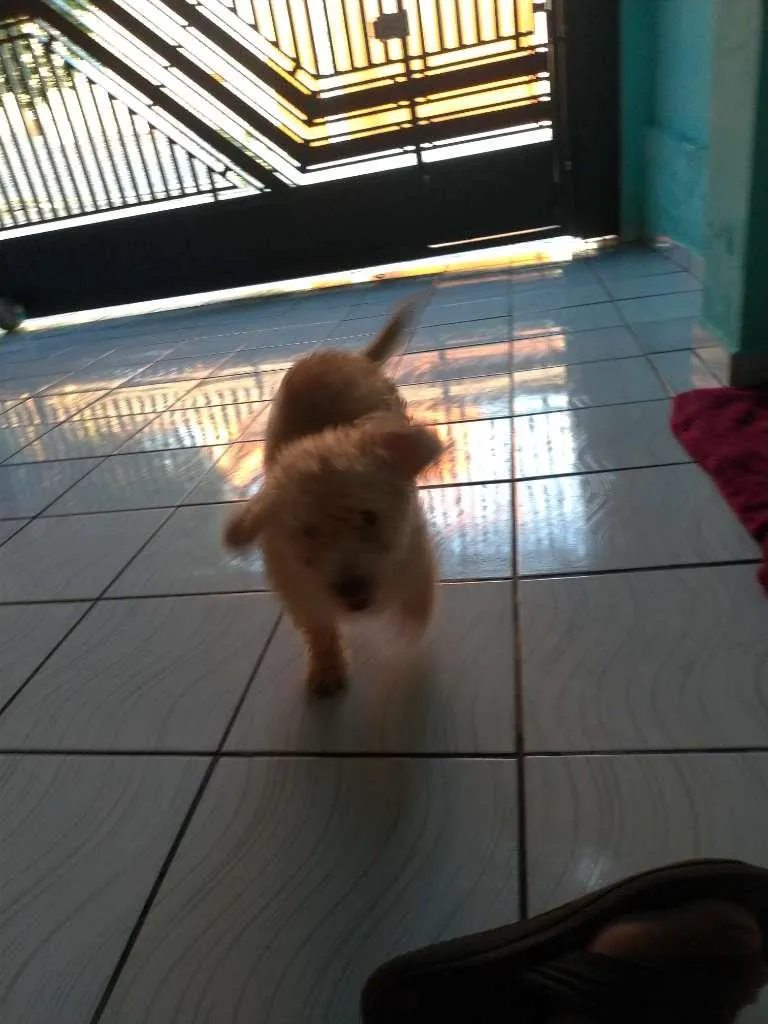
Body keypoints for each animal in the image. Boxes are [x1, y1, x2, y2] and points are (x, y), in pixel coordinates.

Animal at [223, 295, 443, 696]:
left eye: (369, 518)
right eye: (308, 532)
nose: (349, 586)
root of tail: (348, 354)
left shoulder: (413, 549)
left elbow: (417, 596)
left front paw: (410, 624)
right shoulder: (298, 585)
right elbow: (318, 627)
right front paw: (326, 668)